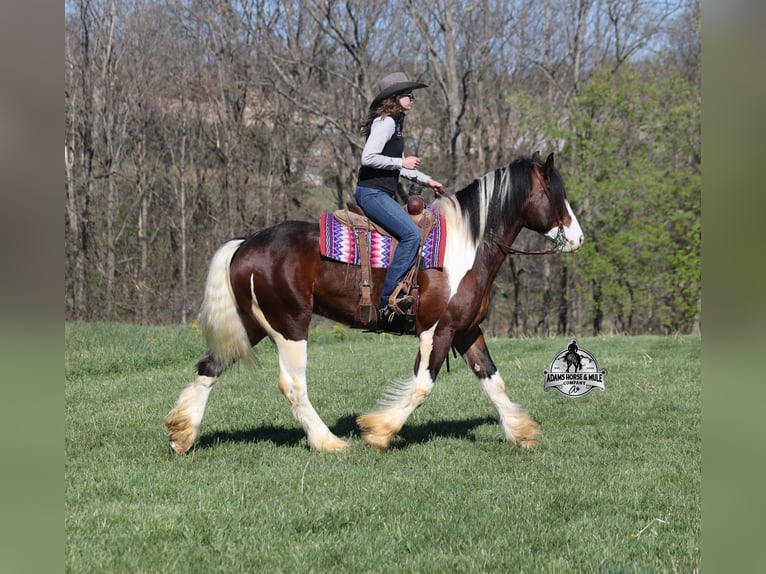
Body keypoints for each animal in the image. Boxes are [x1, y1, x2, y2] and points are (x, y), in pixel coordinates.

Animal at [165, 152, 584, 453]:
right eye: (555, 194)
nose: (578, 238)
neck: (467, 246)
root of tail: (244, 245)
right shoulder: (437, 331)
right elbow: (421, 387)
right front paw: (378, 432)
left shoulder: (466, 330)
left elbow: (493, 380)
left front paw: (521, 432)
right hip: (290, 326)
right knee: (293, 385)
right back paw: (329, 443)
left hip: (250, 325)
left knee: (209, 367)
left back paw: (182, 435)